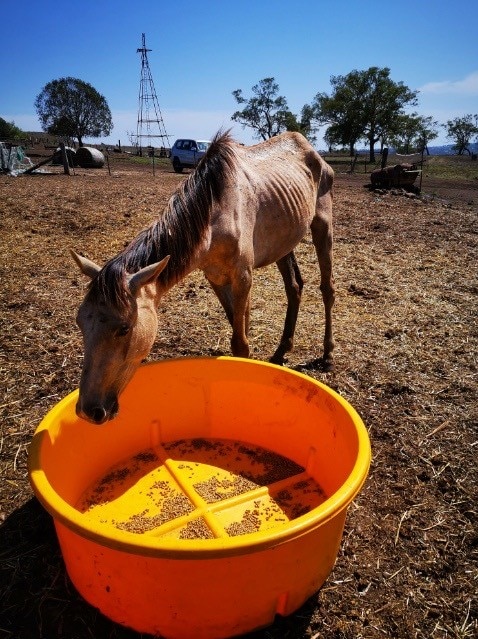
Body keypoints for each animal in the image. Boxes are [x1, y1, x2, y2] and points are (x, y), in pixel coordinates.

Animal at [72, 131, 336, 424]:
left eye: (124, 328)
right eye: (80, 322)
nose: (89, 411)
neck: (214, 216)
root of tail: (309, 148)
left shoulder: (243, 278)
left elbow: (240, 342)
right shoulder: (217, 279)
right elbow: (239, 326)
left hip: (323, 226)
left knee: (327, 289)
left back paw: (327, 353)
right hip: (284, 242)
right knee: (294, 287)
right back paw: (281, 352)